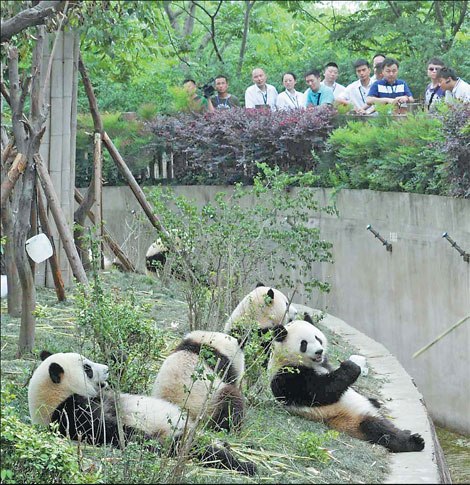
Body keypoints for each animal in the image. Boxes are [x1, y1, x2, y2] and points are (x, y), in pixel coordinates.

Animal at [28, 350, 258, 474]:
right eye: (88, 369)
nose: (106, 369)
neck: (57, 399)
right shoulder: (70, 413)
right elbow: (113, 430)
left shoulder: (103, 395)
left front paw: (118, 359)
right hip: (180, 437)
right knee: (198, 450)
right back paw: (246, 465)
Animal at [268, 316, 426, 452]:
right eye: (304, 343)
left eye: (317, 338)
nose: (319, 351)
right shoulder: (287, 376)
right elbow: (318, 392)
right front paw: (351, 367)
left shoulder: (323, 364)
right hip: (350, 419)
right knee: (379, 430)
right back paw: (414, 441)